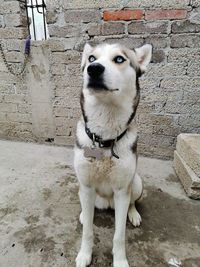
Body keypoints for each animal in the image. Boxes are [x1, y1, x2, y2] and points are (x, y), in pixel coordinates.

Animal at [74, 43, 152, 266]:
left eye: (119, 59)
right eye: (91, 59)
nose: (93, 69)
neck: (105, 140)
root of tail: (108, 203)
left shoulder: (121, 190)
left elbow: (119, 235)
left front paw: (120, 261)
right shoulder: (86, 185)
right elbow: (87, 231)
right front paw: (84, 254)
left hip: (135, 183)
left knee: (132, 202)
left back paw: (133, 214)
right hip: (84, 189)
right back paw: (83, 213)